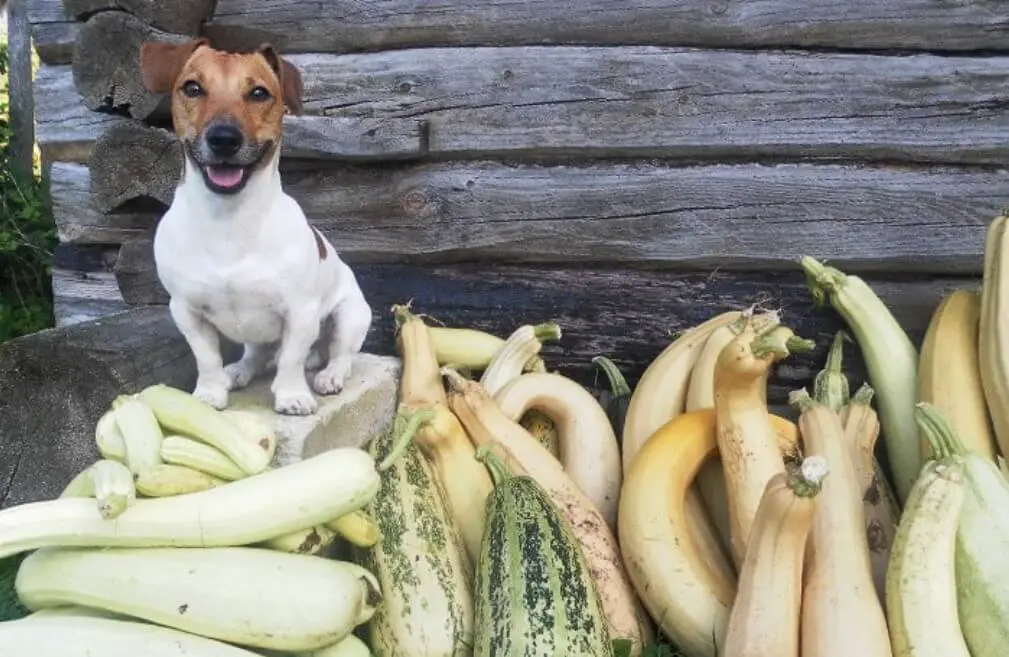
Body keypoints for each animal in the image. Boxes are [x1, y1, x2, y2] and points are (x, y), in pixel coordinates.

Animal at [135, 38, 371, 415]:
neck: (228, 221)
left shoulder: (301, 311)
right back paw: (239, 371)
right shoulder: (186, 311)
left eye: (259, 93)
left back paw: (329, 375)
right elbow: (206, 358)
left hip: (349, 315)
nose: (223, 138)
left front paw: (292, 395)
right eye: (192, 88)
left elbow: (291, 359)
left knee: (340, 354)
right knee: (257, 355)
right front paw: (210, 392)